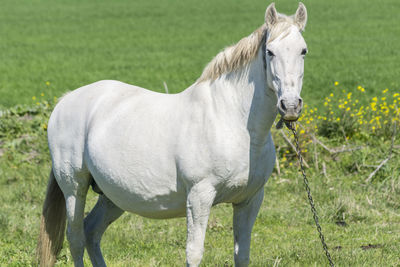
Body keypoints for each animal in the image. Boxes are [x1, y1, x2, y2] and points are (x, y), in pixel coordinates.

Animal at [36, 2, 306, 267]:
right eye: (270, 51)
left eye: (303, 50)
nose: (290, 106)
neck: (231, 121)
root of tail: (65, 101)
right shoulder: (199, 196)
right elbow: (194, 253)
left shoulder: (249, 200)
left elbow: (242, 255)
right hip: (75, 187)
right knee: (76, 238)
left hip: (113, 195)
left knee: (92, 231)